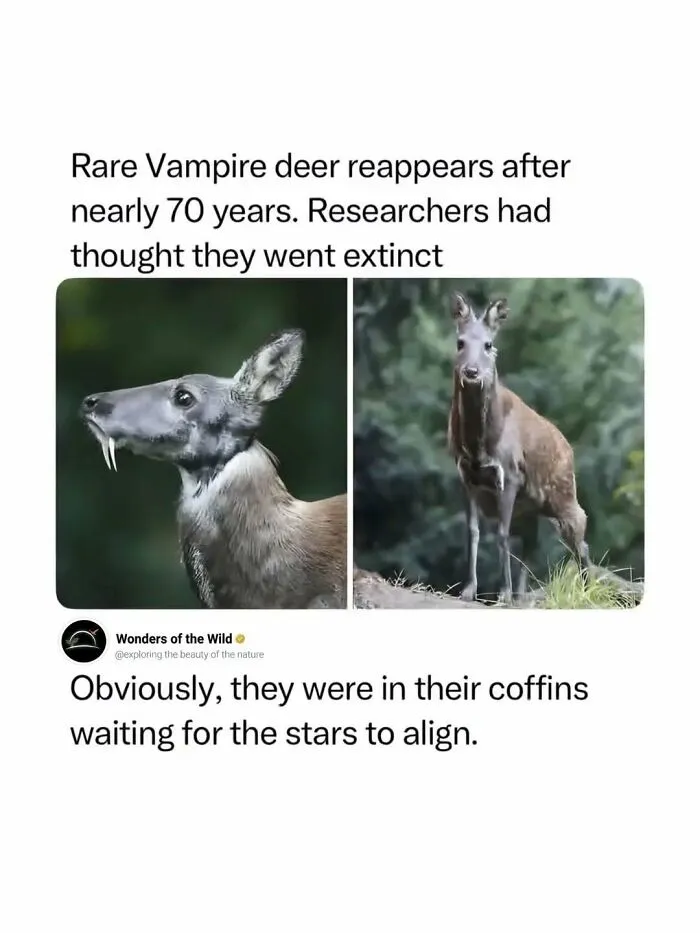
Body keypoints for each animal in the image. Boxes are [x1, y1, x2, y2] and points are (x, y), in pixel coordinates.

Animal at [447, 293, 591, 603]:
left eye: (488, 344)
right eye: (460, 342)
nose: (471, 371)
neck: (480, 445)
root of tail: (569, 448)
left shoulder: (510, 475)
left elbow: (502, 535)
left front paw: (501, 593)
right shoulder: (466, 476)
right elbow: (472, 532)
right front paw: (469, 590)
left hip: (563, 492)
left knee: (579, 536)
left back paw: (584, 592)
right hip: (531, 508)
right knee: (530, 545)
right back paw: (522, 596)